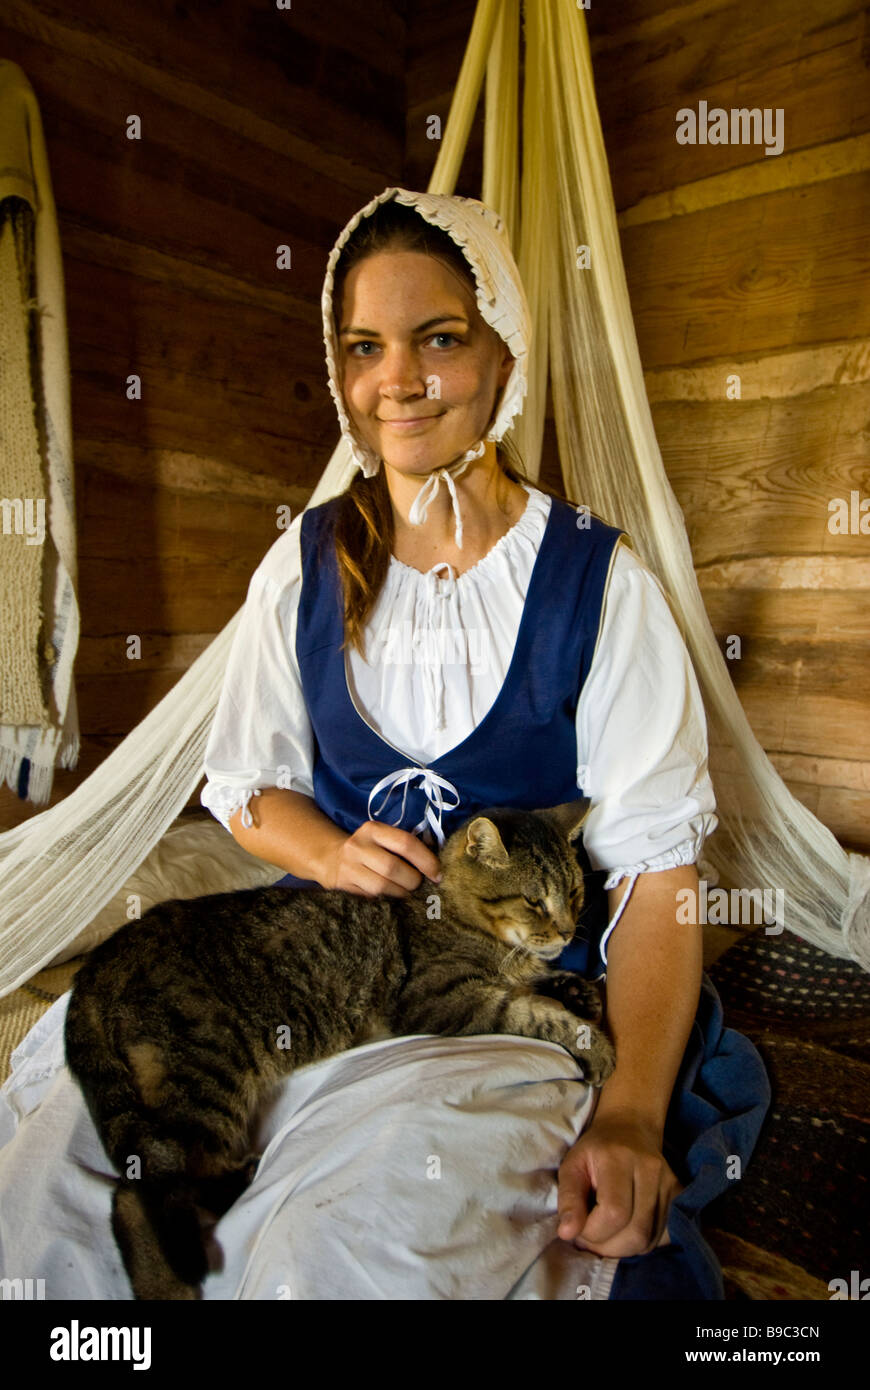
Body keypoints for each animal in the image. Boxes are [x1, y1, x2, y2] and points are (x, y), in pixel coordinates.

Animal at [64, 800, 614, 1295]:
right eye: (533, 901)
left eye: (573, 891)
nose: (568, 930)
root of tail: (101, 961)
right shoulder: (445, 1001)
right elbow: (530, 1011)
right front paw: (592, 1040)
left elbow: (537, 985)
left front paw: (576, 989)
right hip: (206, 1070)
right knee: (140, 1193)